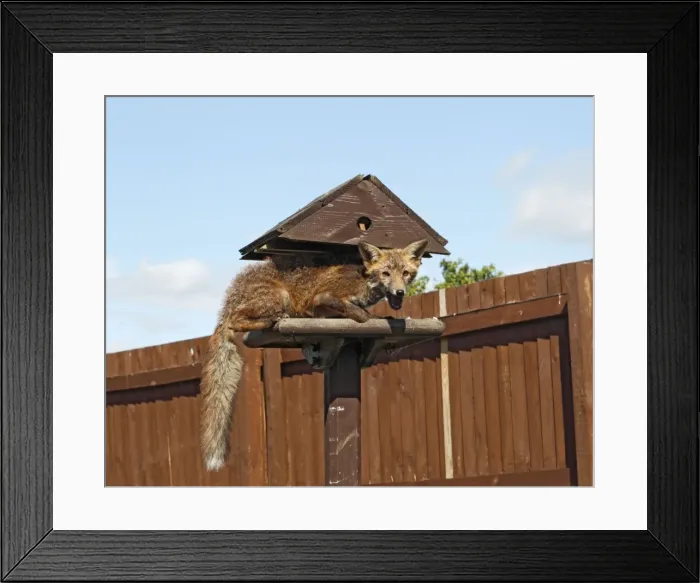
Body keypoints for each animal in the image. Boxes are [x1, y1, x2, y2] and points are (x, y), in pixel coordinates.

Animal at [199, 238, 430, 471]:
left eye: (406, 273)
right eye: (385, 273)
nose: (400, 292)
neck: (364, 281)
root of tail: (230, 294)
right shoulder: (324, 297)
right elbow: (360, 314)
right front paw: (372, 318)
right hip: (279, 297)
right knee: (236, 321)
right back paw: (272, 319)